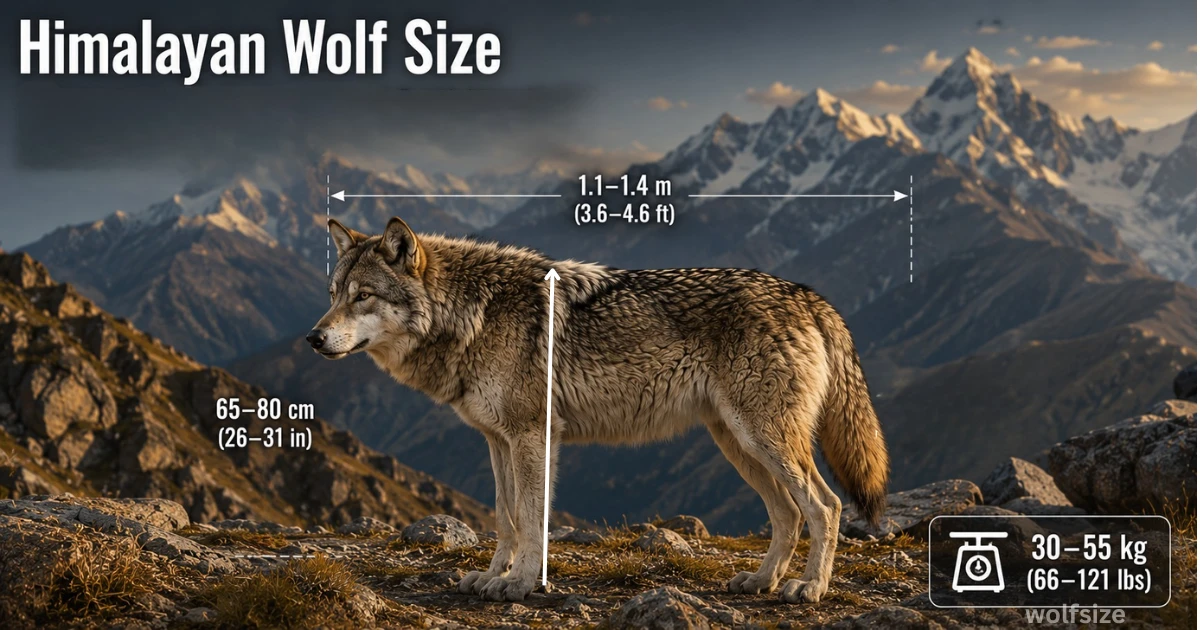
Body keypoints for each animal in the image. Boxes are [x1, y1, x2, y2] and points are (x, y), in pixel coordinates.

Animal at [308, 217, 889, 604]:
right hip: (738, 444)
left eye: (363, 296)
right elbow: (505, 517)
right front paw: (493, 575)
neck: (471, 316)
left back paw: (808, 588)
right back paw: (762, 581)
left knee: (826, 506)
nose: (313, 338)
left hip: (763, 439)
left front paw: (521, 584)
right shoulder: (496, 440)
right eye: (334, 293)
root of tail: (809, 296)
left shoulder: (533, 435)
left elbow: (531, 518)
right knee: (788, 513)